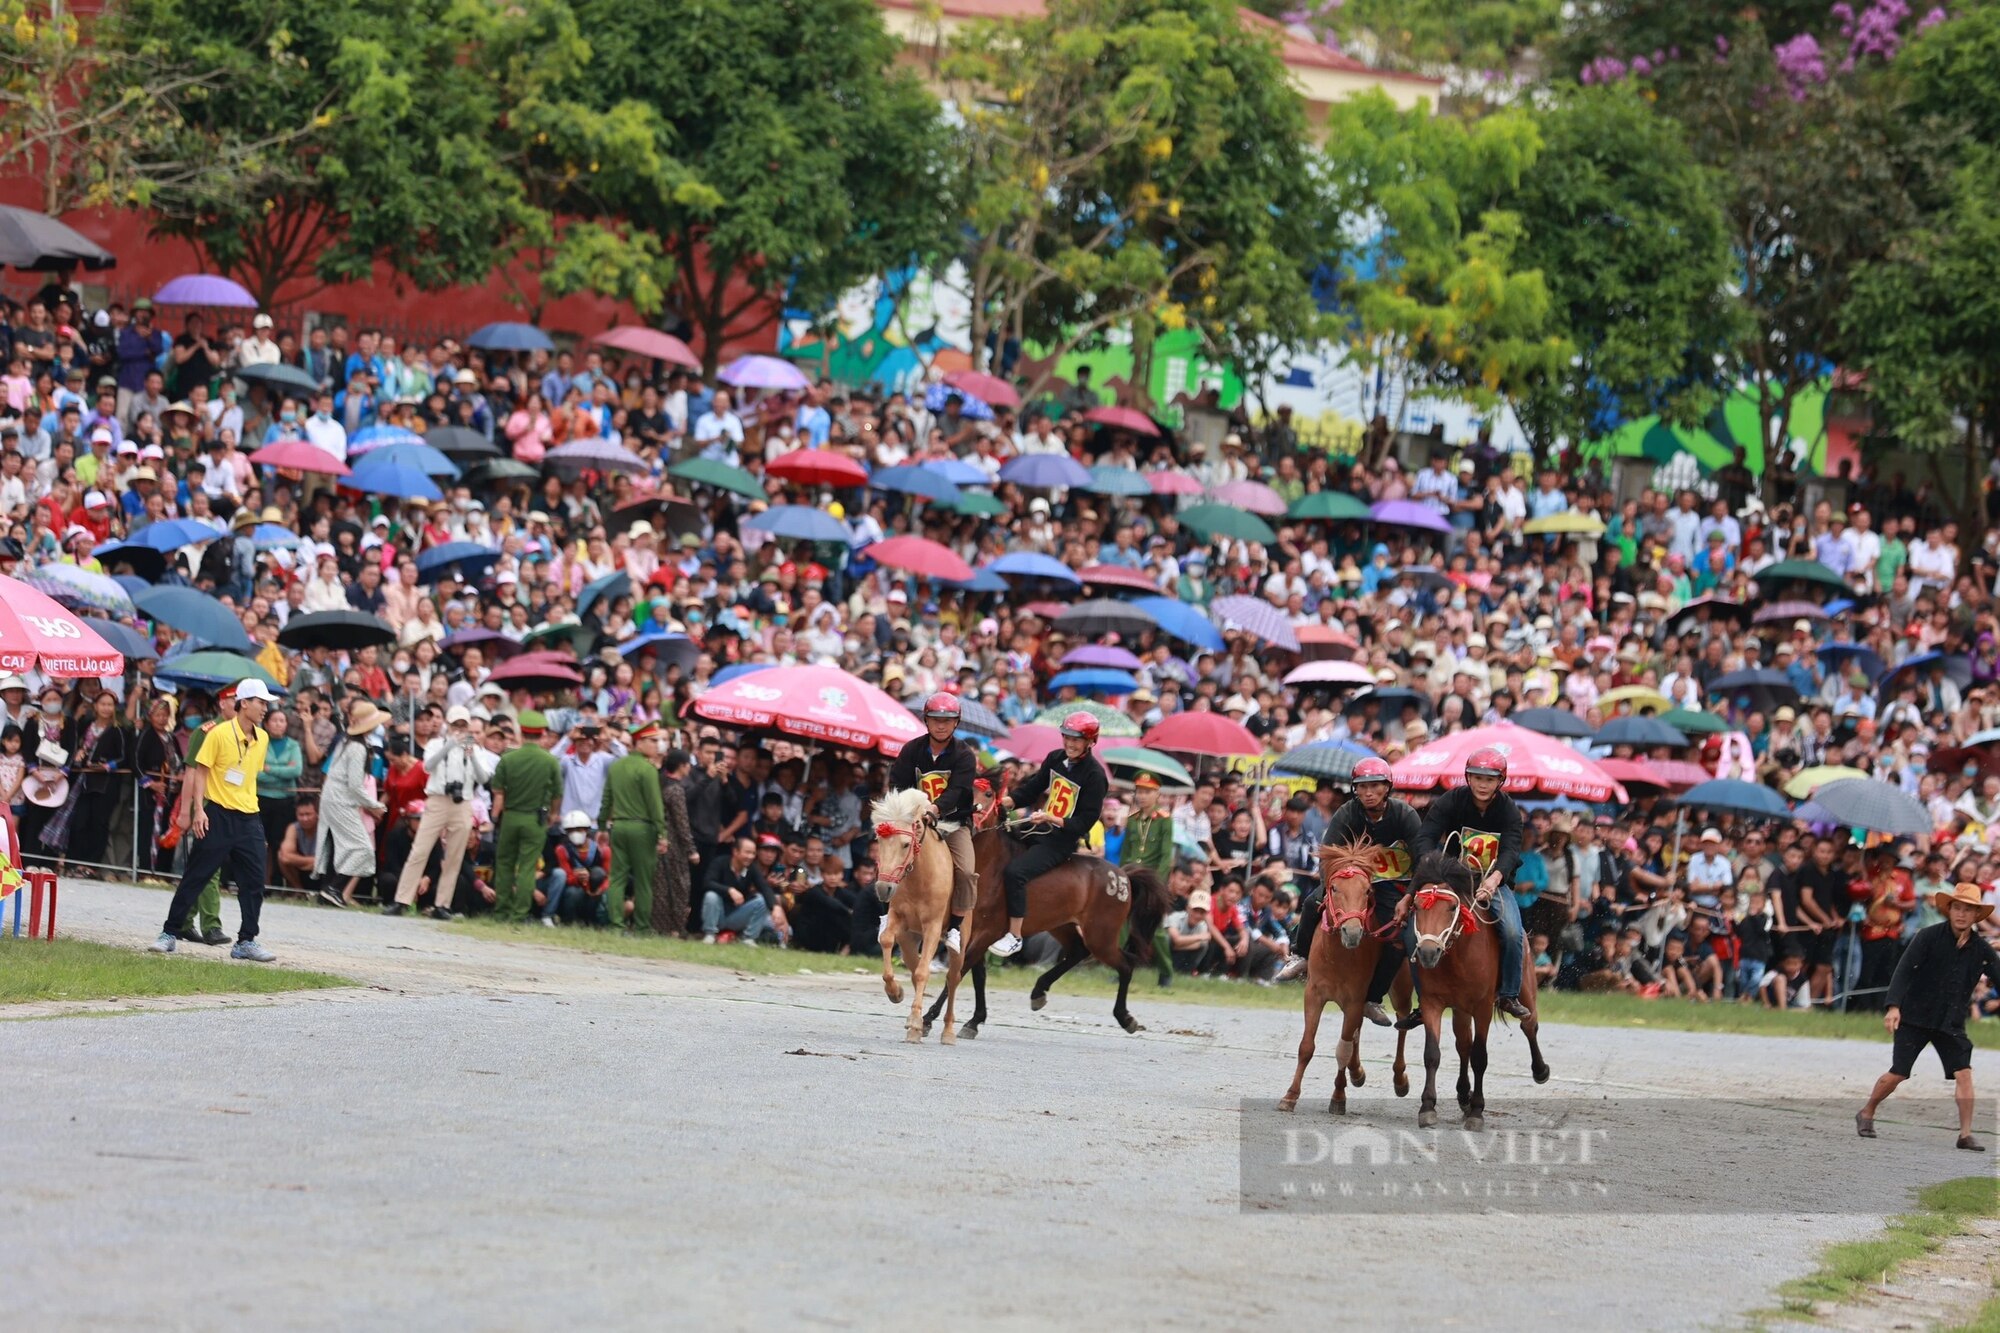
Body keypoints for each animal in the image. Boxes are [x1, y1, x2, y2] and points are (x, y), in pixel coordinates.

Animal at [872, 788, 956, 1040]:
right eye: (879, 841)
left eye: (906, 844)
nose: (883, 888)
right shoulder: (898, 919)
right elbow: (886, 941)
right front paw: (894, 992)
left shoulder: (933, 927)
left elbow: (922, 973)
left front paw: (915, 1023)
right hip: (910, 938)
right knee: (914, 963)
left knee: (953, 979)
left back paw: (949, 1030)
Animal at [920, 820, 1168, 1040]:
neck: (985, 860)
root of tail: (1123, 877)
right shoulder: (972, 933)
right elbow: (977, 975)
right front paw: (974, 1021)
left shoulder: (987, 933)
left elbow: (958, 973)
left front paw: (927, 1019)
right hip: (1061, 925)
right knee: (1078, 951)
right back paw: (1039, 991)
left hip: (1101, 936)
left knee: (1125, 965)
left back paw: (1125, 1017)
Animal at [1272, 840, 1416, 1112]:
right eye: (1334, 888)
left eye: (1367, 890)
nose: (1352, 931)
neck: (1338, 955)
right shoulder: (1315, 995)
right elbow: (1307, 1046)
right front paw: (1290, 1096)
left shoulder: (1354, 1000)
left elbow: (1342, 1049)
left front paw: (1338, 1097)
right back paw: (1357, 1072)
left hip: (1401, 988)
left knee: (1402, 1022)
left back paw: (1399, 1079)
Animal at [1400, 852, 1552, 1120]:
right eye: (1416, 906)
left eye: (1452, 907)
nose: (1428, 952)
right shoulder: (1432, 1003)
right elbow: (1433, 1054)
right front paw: (1428, 1106)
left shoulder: (1482, 1007)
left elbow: (1480, 1057)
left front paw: (1477, 1111)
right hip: (1460, 1009)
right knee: (1463, 1045)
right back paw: (1463, 1094)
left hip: (1526, 988)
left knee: (1529, 1024)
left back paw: (1540, 1070)